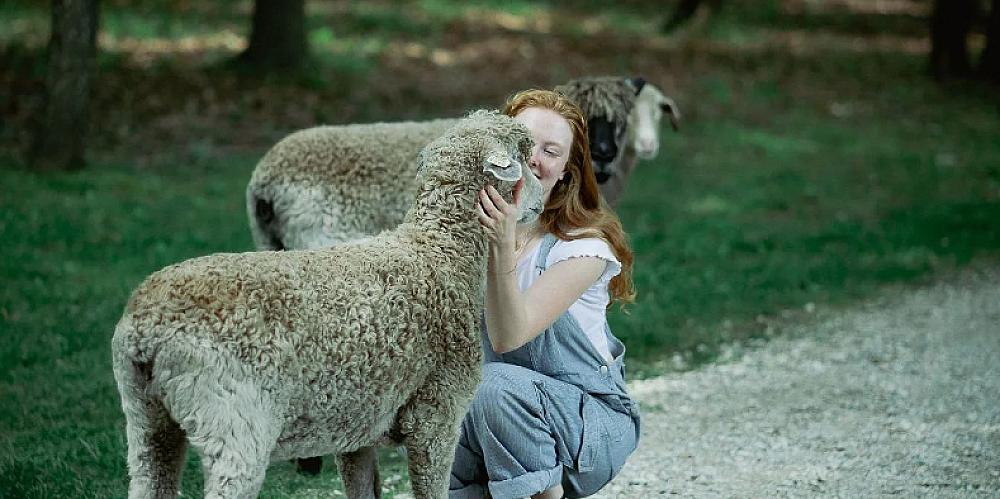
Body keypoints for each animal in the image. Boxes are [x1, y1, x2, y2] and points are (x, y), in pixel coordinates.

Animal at [112, 110, 545, 499]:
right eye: (525, 157)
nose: (544, 199)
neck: (440, 250)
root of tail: (144, 332)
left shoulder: (356, 425)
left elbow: (363, 488)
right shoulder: (436, 413)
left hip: (148, 423)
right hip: (233, 422)